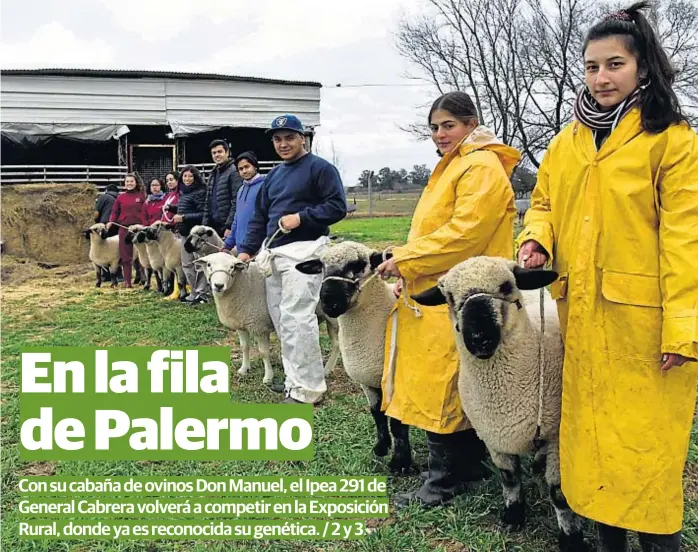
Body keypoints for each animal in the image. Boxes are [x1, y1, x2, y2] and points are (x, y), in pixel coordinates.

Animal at [194, 253, 338, 388]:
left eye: (232, 267)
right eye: (209, 265)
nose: (218, 285)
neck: (244, 284)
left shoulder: (259, 327)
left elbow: (263, 353)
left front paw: (268, 377)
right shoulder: (241, 325)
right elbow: (244, 347)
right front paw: (244, 369)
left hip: (334, 317)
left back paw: (326, 369)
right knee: (335, 344)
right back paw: (325, 369)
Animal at [294, 242, 414, 474]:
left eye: (358, 264)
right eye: (322, 267)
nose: (329, 302)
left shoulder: (396, 383)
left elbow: (397, 423)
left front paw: (400, 463)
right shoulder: (367, 380)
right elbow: (377, 414)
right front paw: (381, 448)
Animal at [414, 258, 588, 552]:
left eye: (506, 286)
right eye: (450, 298)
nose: (479, 338)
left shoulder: (556, 440)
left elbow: (558, 494)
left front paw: (571, 538)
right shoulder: (494, 438)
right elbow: (509, 479)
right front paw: (513, 516)